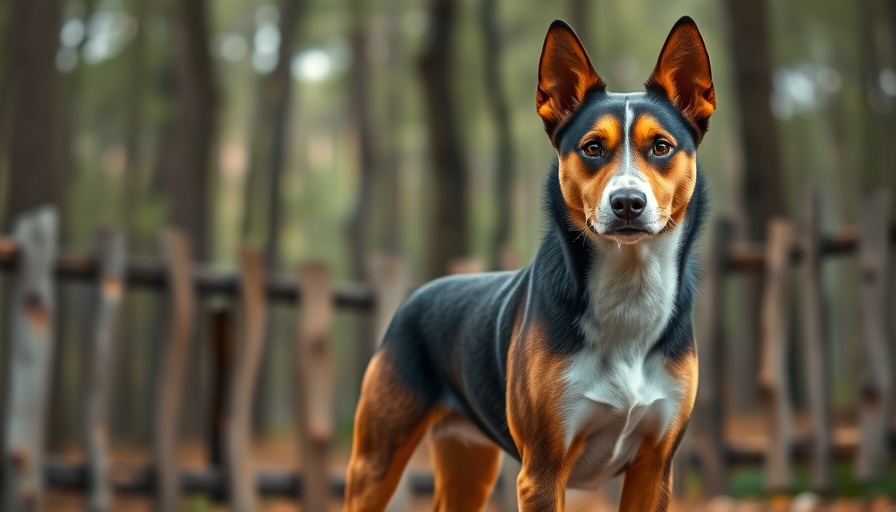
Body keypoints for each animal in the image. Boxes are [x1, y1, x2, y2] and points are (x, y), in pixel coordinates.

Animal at [344, 16, 712, 512]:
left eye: (661, 147)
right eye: (592, 148)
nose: (627, 203)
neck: (628, 287)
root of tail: (420, 293)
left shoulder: (655, 468)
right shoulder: (542, 470)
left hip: (468, 462)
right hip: (376, 460)